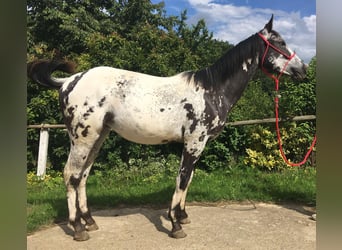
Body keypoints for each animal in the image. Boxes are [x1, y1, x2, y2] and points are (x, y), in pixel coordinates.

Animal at [27, 15, 308, 240]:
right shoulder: (194, 142)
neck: (211, 90)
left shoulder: (197, 144)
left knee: (83, 175)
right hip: (82, 138)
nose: (303, 69)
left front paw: (182, 216)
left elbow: (189, 178)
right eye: (280, 43)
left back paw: (89, 221)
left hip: (97, 137)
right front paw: (175, 225)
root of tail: (69, 81)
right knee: (71, 175)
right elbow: (182, 179)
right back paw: (77, 228)